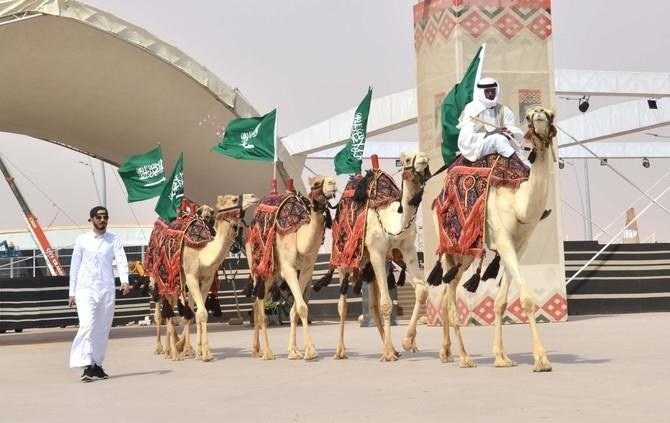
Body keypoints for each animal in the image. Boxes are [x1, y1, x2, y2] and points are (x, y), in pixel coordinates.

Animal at [153, 194, 260, 362]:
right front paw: (204, 354)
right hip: (161, 276)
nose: (254, 197)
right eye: (234, 199)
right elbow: (202, 313)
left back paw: (177, 348)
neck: (203, 253)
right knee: (162, 312)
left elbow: (198, 314)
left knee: (179, 310)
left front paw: (199, 351)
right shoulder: (191, 277)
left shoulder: (207, 279)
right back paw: (168, 351)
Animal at [248, 176, 338, 362]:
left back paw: (256, 350)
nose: (332, 183)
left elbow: (295, 309)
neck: (299, 236)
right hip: (258, 267)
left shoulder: (306, 270)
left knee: (256, 305)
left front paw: (294, 351)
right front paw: (310, 351)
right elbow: (302, 307)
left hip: (272, 274)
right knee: (260, 309)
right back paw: (267, 352)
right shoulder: (289, 269)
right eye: (316, 183)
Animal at [334, 152, 430, 362]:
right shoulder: (377, 252)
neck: (393, 221)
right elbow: (386, 304)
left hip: (369, 265)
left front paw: (407, 342)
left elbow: (421, 290)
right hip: (345, 259)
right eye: (407, 159)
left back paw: (392, 348)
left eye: (423, 156)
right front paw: (389, 354)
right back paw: (340, 351)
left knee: (372, 306)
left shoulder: (408, 250)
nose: (423, 160)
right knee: (342, 305)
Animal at [436, 106, 556, 372]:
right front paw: (541, 360)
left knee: (448, 290)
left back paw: (446, 352)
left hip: (467, 254)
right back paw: (464, 357)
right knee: (449, 293)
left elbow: (501, 302)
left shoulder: (520, 245)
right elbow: (527, 299)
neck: (518, 203)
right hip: (452, 246)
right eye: (529, 116)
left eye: (551, 114)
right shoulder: (503, 240)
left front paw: (501, 357)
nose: (539, 113)